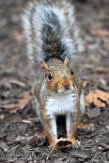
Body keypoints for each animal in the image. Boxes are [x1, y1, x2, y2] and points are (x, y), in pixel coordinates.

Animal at [21, 0, 86, 148]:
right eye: (49, 76)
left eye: (72, 71)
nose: (67, 84)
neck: (60, 96)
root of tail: (53, 58)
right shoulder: (47, 111)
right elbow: (50, 129)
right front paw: (53, 144)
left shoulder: (73, 107)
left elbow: (72, 126)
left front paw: (72, 141)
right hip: (38, 107)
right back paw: (41, 134)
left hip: (81, 102)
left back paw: (83, 125)